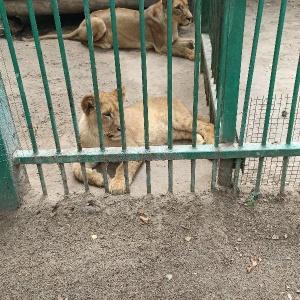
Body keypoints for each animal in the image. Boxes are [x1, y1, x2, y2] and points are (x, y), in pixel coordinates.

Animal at [25, 0, 195, 60]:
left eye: (187, 5)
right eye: (178, 7)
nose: (191, 18)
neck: (172, 22)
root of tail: (81, 23)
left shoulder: (174, 40)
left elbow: (190, 40)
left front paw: (194, 45)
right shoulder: (162, 47)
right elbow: (181, 49)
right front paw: (193, 54)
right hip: (99, 22)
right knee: (85, 42)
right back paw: (106, 44)